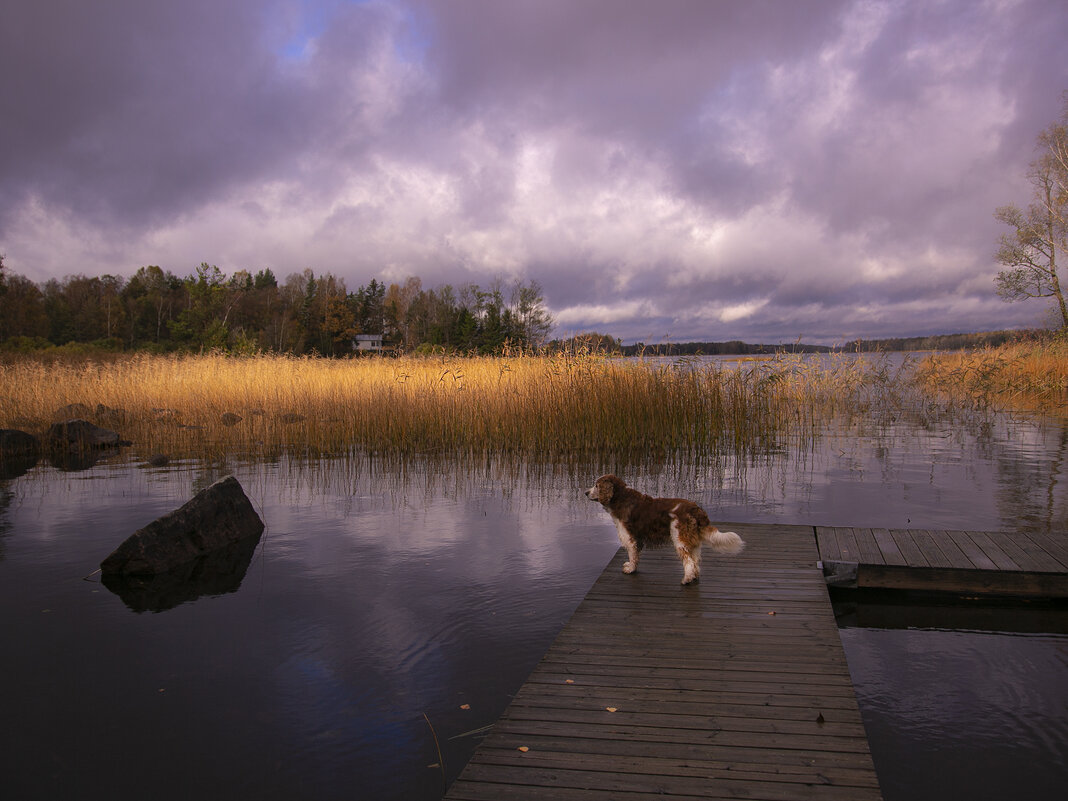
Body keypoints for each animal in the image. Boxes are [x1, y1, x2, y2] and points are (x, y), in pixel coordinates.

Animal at [585, 476, 743, 585]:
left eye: (596, 485)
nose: (586, 492)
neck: (620, 498)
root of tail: (696, 509)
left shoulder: (630, 538)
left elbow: (633, 556)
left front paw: (630, 569)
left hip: (680, 540)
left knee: (689, 562)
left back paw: (686, 579)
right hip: (693, 542)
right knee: (695, 561)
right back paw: (694, 577)